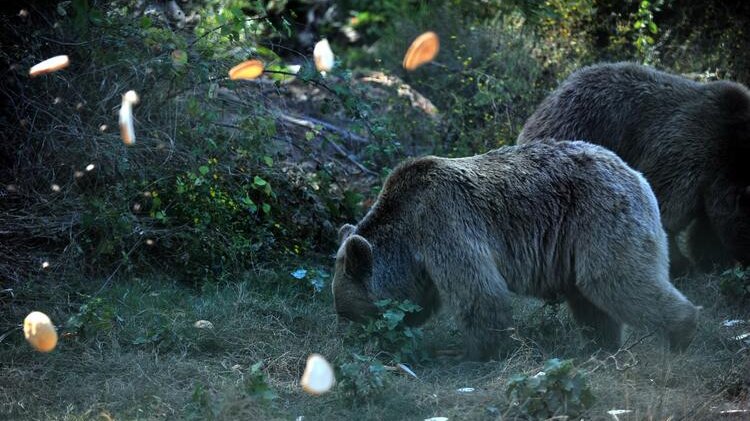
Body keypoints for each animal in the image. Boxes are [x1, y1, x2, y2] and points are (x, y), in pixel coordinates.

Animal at [334, 140, 700, 358]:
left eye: (347, 311)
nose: (355, 343)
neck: (406, 232)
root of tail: (635, 174)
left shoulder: (444, 223)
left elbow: (480, 292)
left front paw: (481, 353)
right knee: (590, 298)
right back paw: (601, 346)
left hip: (600, 215)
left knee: (617, 279)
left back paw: (683, 331)